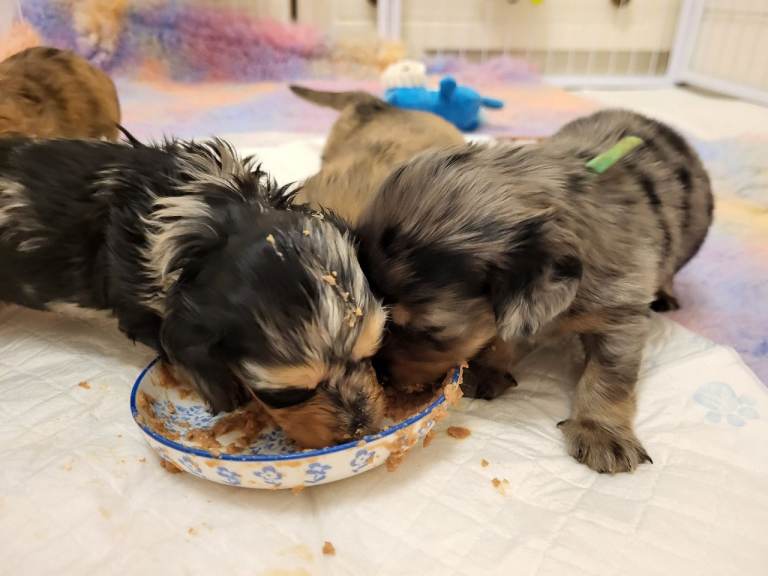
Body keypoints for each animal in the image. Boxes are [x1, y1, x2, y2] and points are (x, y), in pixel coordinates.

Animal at [356, 109, 713, 473]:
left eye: (427, 331)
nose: (381, 374)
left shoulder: (621, 314)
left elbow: (608, 376)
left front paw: (599, 431)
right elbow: (499, 337)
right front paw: (487, 370)